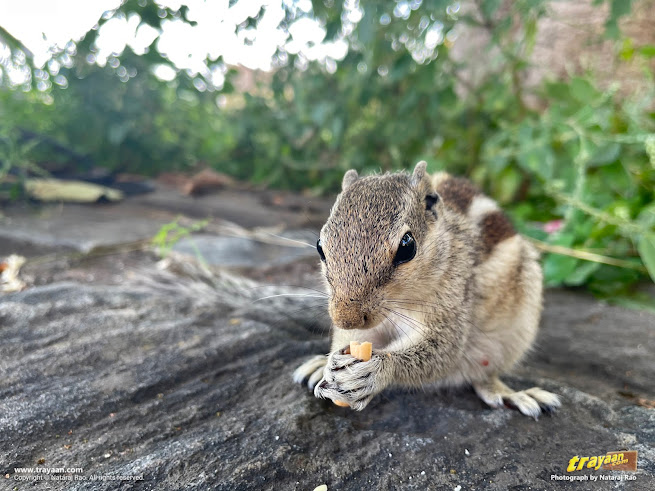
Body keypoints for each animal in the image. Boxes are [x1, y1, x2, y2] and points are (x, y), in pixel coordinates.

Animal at [294, 161, 560, 418]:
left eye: (407, 246)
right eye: (320, 246)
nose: (346, 319)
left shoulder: (453, 305)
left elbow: (442, 350)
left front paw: (378, 370)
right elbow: (351, 339)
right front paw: (329, 365)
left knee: (484, 376)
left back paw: (512, 395)